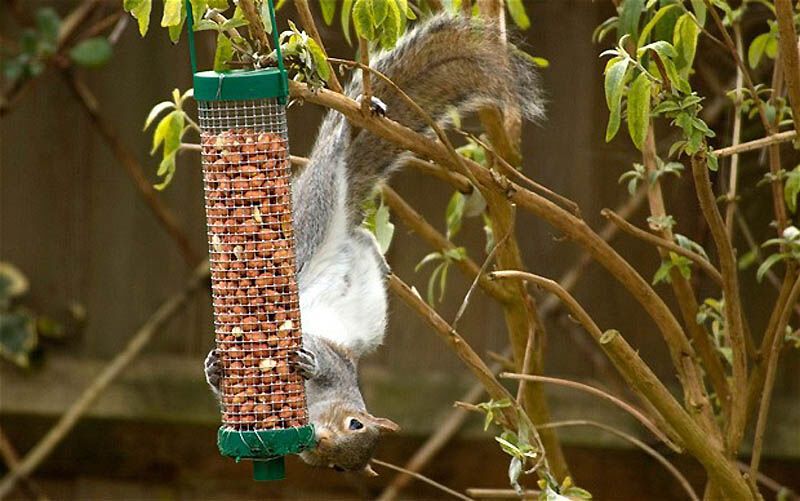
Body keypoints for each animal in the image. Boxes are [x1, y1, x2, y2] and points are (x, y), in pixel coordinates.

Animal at [206, 12, 544, 476]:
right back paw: (349, 128)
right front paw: (228, 369)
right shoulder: (330, 356)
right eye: (355, 423)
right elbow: (315, 360)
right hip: (314, 218)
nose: (320, 443)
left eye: (337, 466)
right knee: (331, 167)